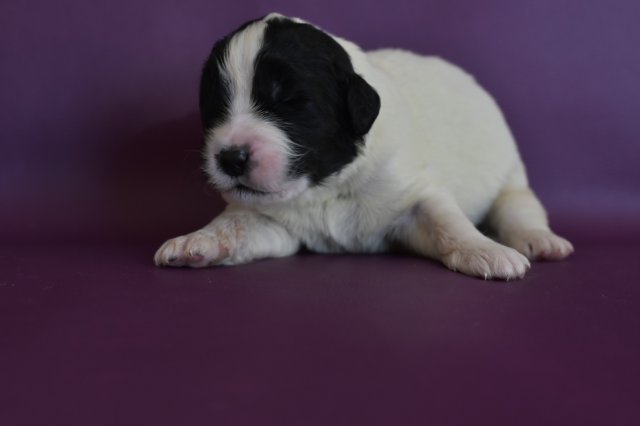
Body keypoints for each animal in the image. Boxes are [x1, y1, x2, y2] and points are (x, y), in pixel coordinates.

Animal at [154, 13, 574, 280]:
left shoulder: (415, 194)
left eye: (290, 102)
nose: (230, 158)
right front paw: (197, 241)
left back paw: (540, 241)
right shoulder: (271, 221)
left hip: (510, 179)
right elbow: (235, 227)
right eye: (216, 106)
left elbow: (449, 223)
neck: (327, 186)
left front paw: (486, 251)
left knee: (520, 211)